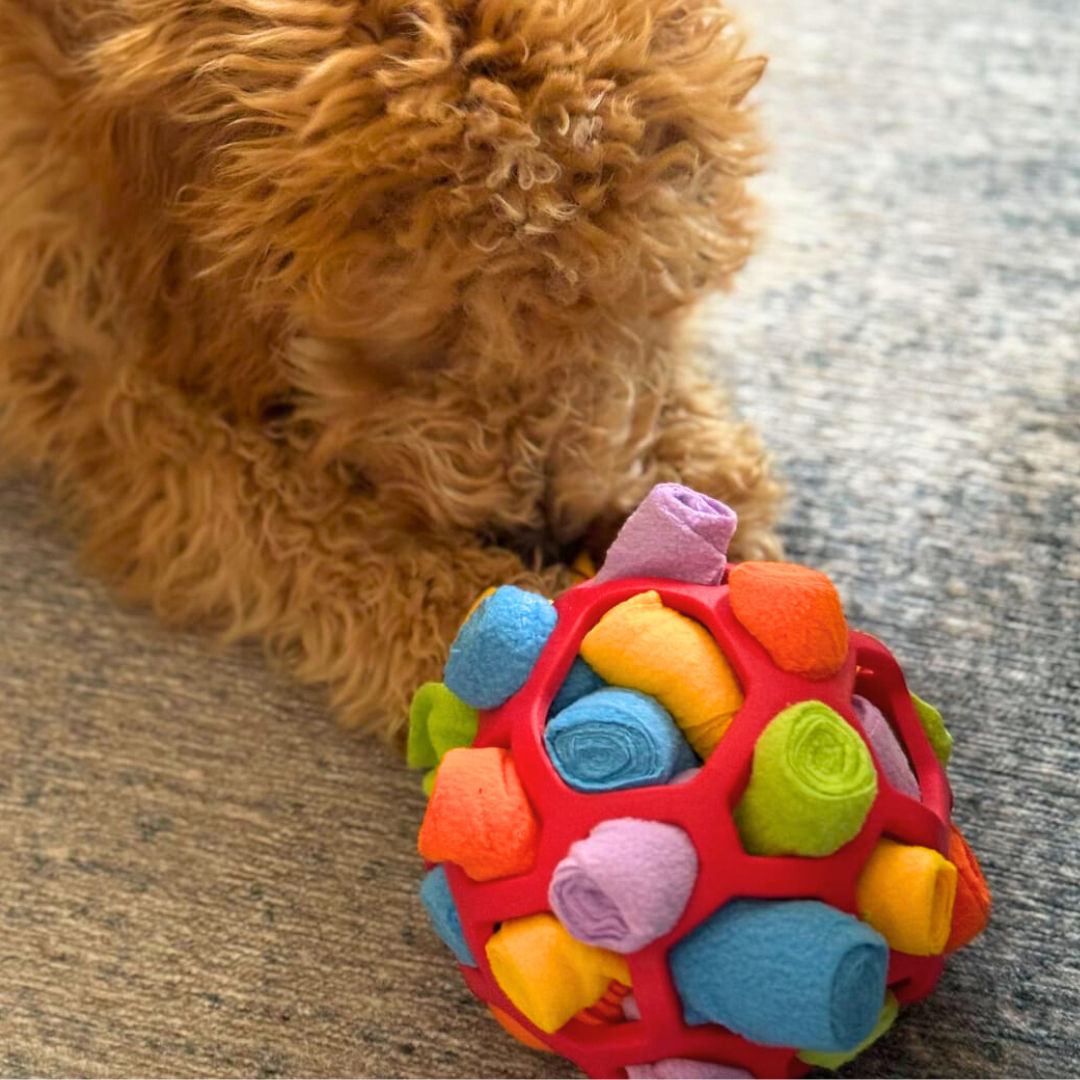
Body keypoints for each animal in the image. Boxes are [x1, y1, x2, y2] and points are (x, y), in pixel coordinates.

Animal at [0, 0, 781, 743]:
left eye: (631, 293)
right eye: (429, 336)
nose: (548, 532)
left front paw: (703, 469)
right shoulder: (95, 365)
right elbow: (279, 509)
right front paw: (477, 630)